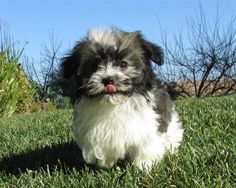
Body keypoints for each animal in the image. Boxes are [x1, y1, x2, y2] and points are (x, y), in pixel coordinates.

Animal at [61, 26, 183, 170]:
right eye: (95, 66)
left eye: (123, 64)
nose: (108, 79)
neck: (115, 104)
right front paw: (106, 160)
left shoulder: (147, 124)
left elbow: (146, 145)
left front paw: (144, 166)